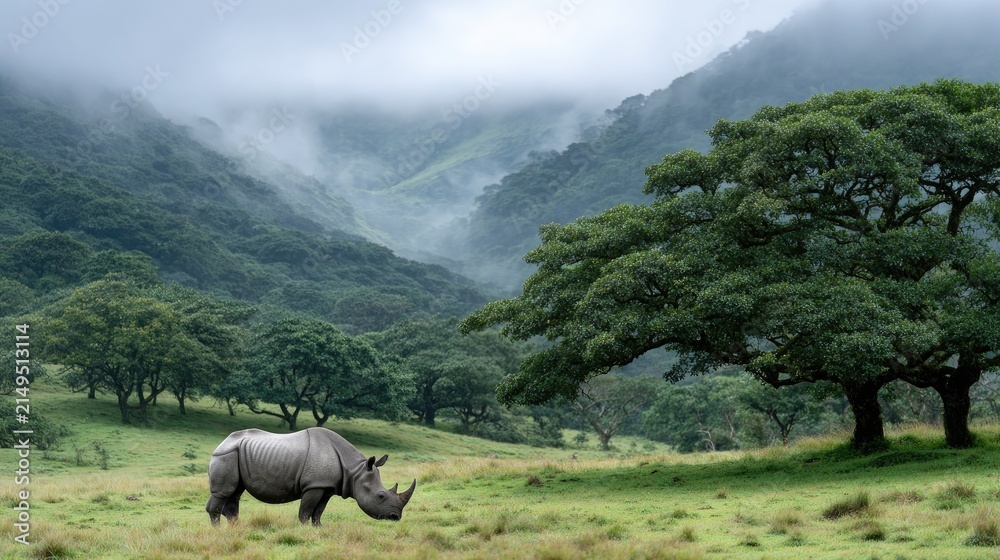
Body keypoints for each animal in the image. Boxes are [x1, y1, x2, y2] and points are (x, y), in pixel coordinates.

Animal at [205, 427, 415, 526]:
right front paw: (305, 530)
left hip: (236, 454)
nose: (395, 517)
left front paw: (319, 528)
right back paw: (219, 532)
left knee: (234, 493)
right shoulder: (314, 485)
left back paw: (236, 529)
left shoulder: (326, 487)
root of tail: (222, 442)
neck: (354, 471)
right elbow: (305, 511)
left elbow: (318, 511)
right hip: (226, 455)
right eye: (380, 496)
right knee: (223, 492)